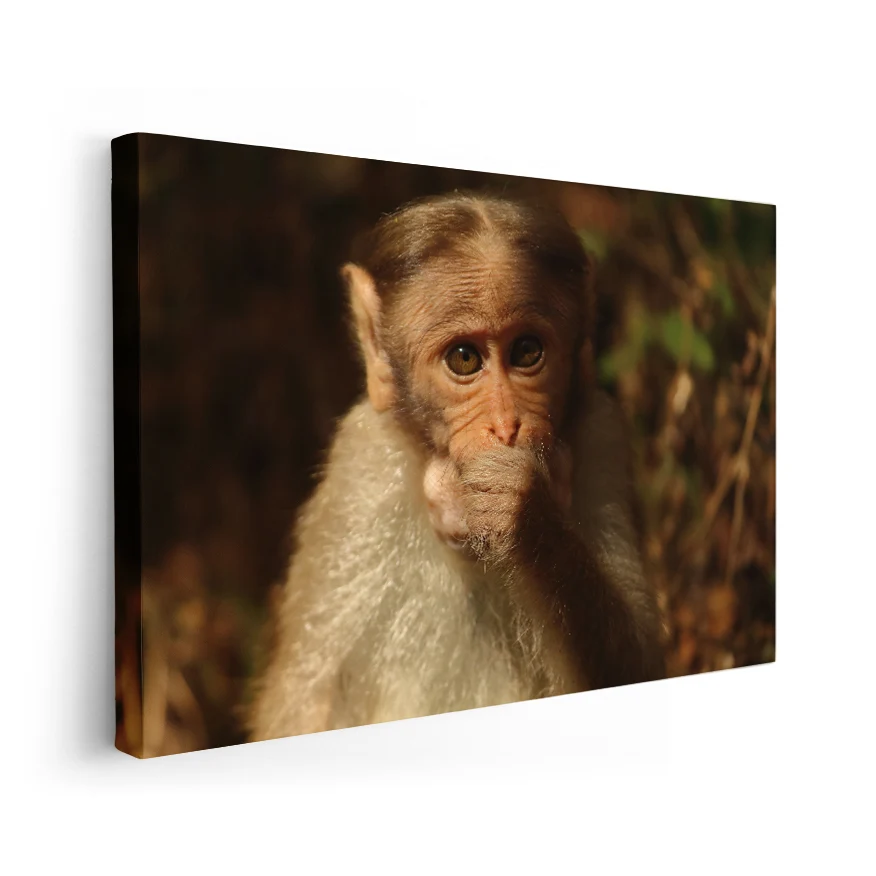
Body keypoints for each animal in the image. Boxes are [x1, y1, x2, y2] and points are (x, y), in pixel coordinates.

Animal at [248, 192, 665, 741]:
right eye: (464, 359)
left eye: (527, 351)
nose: (506, 427)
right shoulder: (360, 471)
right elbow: (306, 702)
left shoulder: (604, 440)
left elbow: (637, 666)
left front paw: (524, 514)